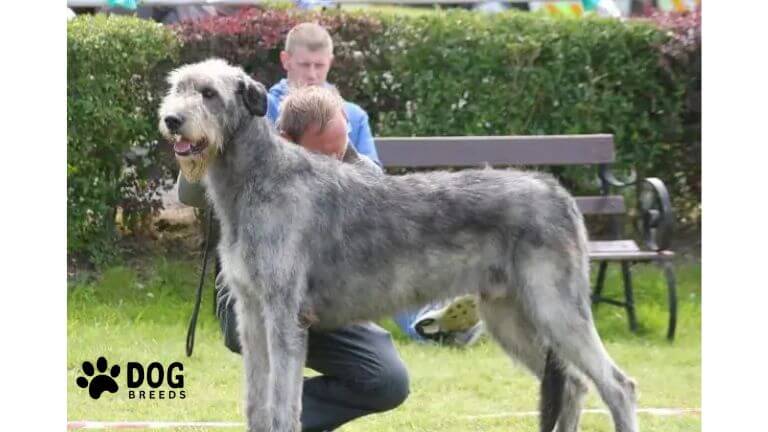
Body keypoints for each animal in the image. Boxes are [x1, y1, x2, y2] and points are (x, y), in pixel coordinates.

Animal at [159, 58, 640, 432]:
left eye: (209, 93)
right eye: (177, 87)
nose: (171, 120)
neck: (257, 178)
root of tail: (557, 191)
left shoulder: (284, 314)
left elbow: (283, 406)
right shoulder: (252, 312)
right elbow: (256, 402)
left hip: (555, 305)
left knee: (618, 384)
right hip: (509, 314)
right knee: (574, 383)